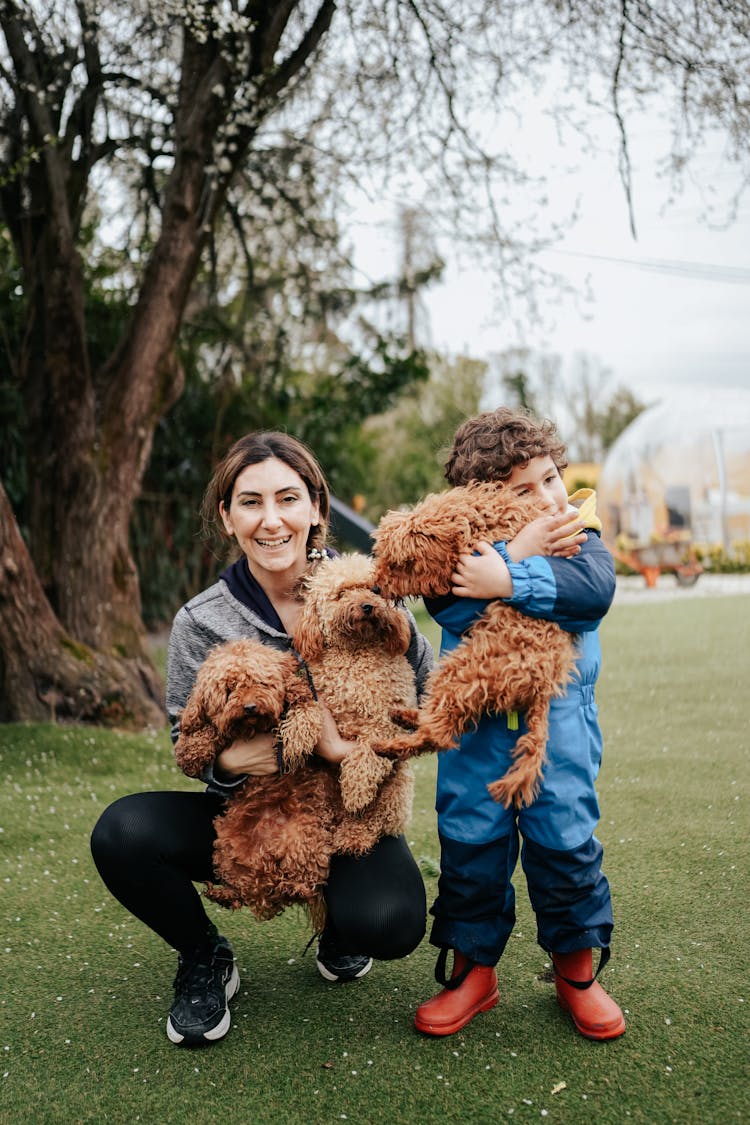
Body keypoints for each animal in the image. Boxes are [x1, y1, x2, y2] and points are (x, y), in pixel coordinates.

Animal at [373, 481, 580, 810]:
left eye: (400, 564)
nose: (376, 587)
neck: (472, 520)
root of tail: (542, 684)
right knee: (440, 722)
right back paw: (405, 717)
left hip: (461, 670)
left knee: (439, 735)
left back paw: (389, 745)